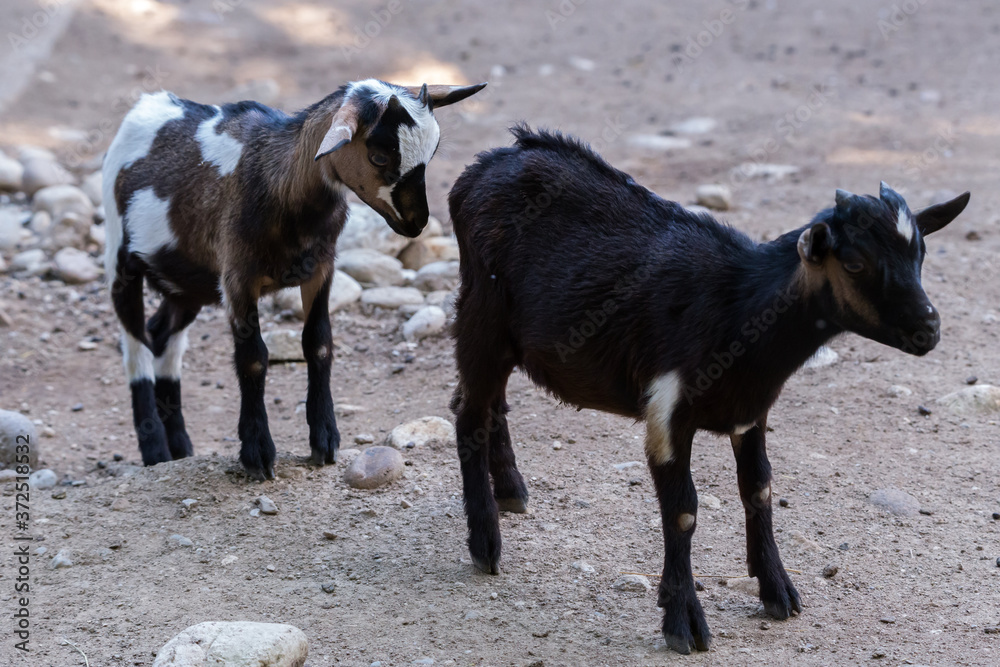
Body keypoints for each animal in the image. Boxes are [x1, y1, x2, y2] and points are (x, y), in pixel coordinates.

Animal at [103, 79, 485, 480]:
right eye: (379, 157)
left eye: (433, 151)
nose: (417, 222)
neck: (281, 183)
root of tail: (151, 104)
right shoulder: (237, 277)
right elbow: (253, 357)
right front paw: (257, 453)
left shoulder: (320, 269)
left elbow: (318, 344)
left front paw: (325, 441)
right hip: (119, 259)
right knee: (136, 345)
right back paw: (155, 450)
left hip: (188, 284)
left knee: (162, 335)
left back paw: (179, 449)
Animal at [448, 126, 969, 654]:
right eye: (856, 264)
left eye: (920, 254)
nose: (929, 329)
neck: (741, 308)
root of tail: (487, 164)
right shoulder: (666, 413)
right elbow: (683, 511)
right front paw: (684, 622)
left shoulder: (750, 410)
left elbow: (758, 488)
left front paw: (778, 591)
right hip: (481, 315)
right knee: (468, 413)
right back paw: (485, 542)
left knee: (492, 405)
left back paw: (511, 491)